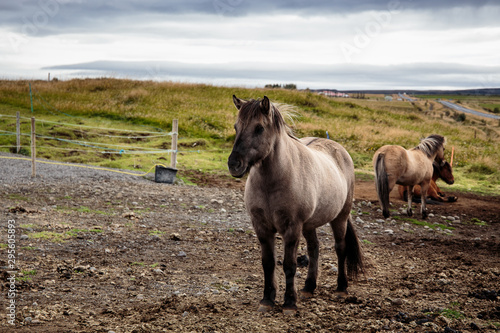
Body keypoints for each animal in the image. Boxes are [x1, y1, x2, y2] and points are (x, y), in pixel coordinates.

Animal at [228, 95, 364, 314]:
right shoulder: (261, 227)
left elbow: (289, 265)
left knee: (340, 248)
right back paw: (309, 287)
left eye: (259, 128)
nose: (234, 164)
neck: (273, 182)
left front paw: (289, 303)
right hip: (309, 225)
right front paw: (267, 299)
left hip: (339, 218)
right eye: (236, 127)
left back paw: (341, 288)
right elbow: (268, 263)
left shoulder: (292, 228)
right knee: (314, 248)